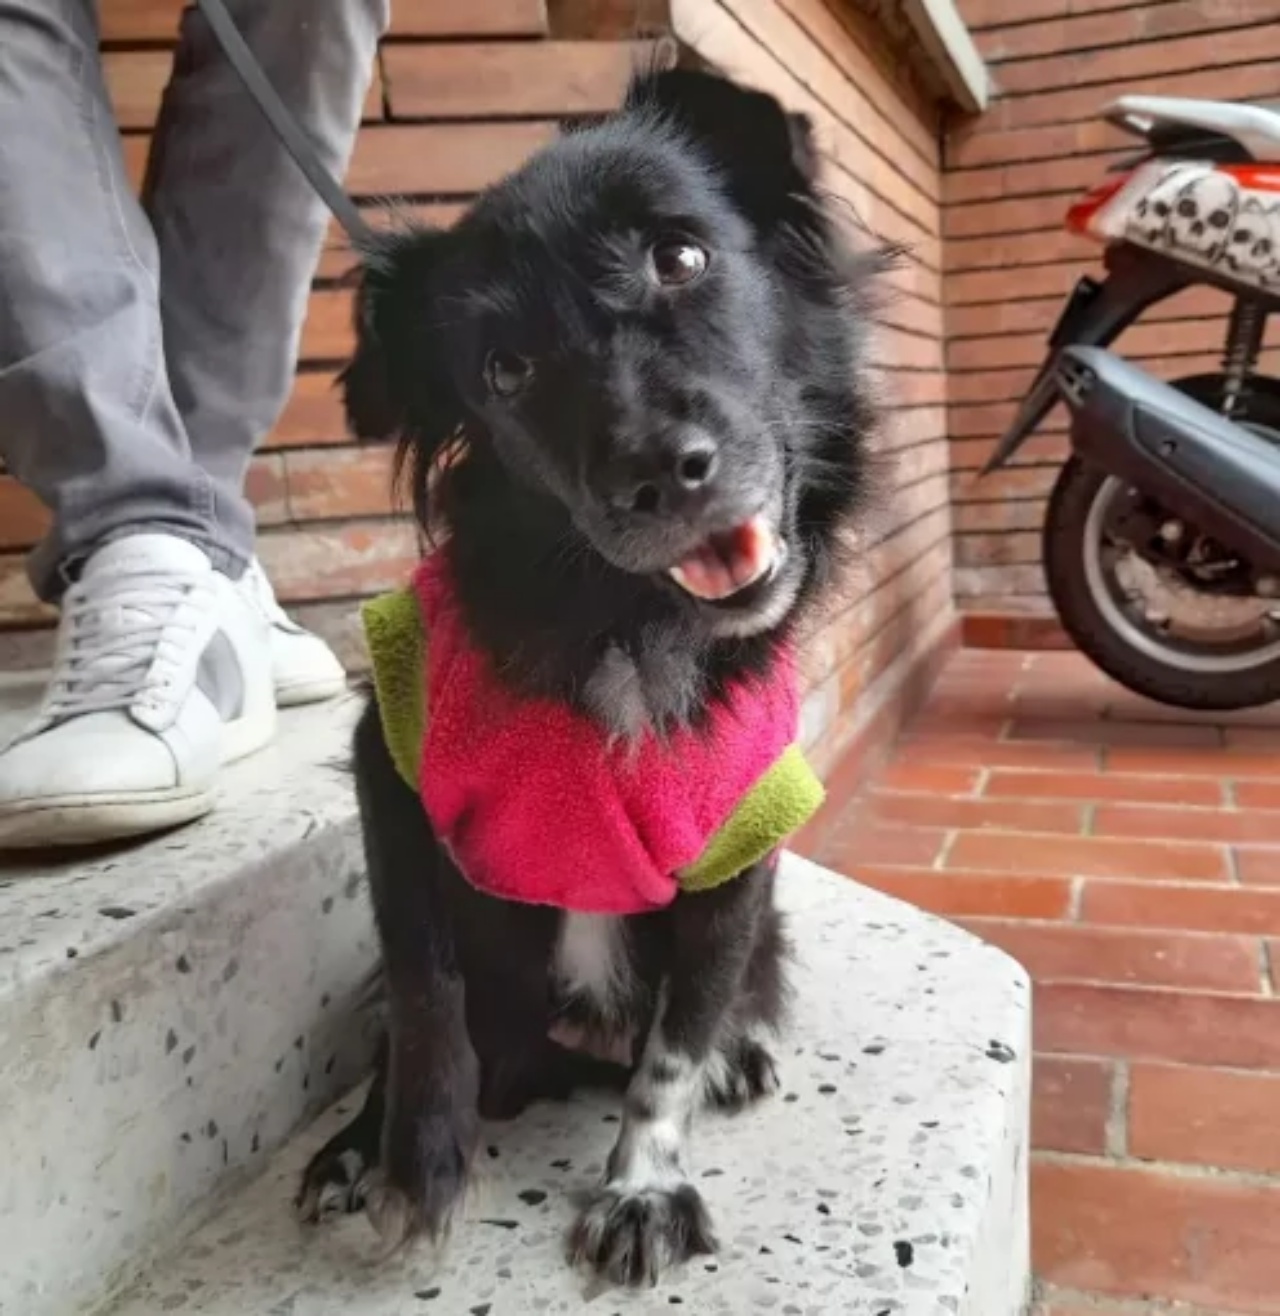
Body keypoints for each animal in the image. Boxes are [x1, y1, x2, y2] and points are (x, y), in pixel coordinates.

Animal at [294, 64, 884, 1284]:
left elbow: (678, 1035)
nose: (656, 473)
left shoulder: (739, 840)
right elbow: (421, 981)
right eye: (504, 369)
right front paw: (417, 1157)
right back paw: (358, 1141)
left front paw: (643, 1185)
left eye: (682, 256)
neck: (624, 620)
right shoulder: (391, 763)